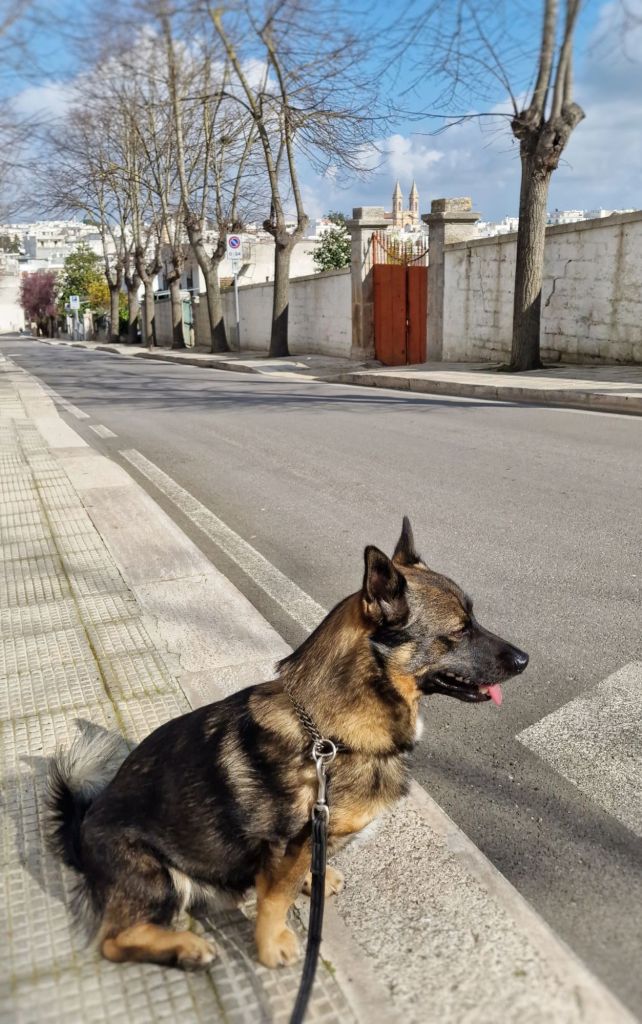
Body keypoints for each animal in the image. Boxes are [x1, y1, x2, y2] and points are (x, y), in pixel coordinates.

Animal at [46, 517, 528, 971]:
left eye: (474, 621)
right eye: (460, 630)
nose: (525, 660)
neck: (328, 738)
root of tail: (81, 826)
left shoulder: (314, 837)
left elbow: (306, 871)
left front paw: (317, 880)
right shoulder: (284, 846)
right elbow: (277, 898)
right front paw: (271, 944)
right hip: (156, 875)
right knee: (114, 940)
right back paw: (186, 948)